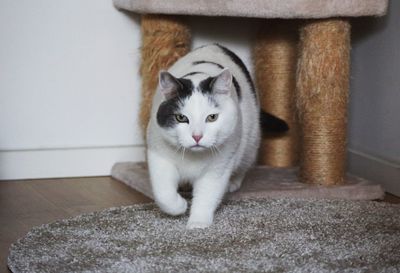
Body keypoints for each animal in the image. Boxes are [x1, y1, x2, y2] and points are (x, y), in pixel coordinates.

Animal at [147, 44, 288, 227]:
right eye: (181, 118)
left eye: (212, 117)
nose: (197, 136)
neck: (193, 158)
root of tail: (216, 45)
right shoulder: (159, 155)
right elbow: (164, 193)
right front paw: (180, 206)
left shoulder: (218, 167)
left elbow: (207, 194)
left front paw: (198, 223)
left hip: (250, 142)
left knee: (244, 164)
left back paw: (233, 183)